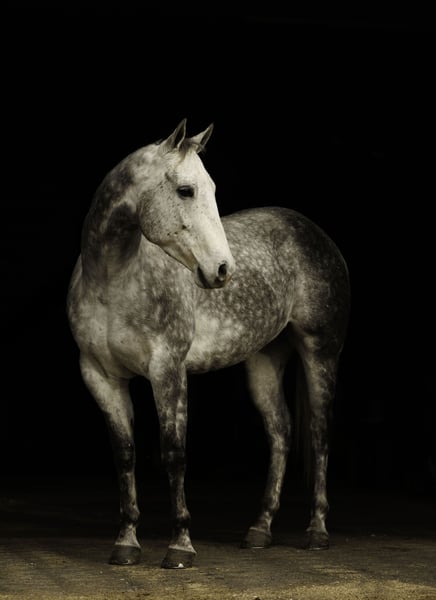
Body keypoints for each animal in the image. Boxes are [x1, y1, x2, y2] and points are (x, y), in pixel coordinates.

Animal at [67, 118, 350, 569]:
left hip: (320, 352)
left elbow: (173, 453)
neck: (112, 281)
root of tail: (314, 232)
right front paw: (126, 543)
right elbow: (125, 454)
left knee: (319, 432)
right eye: (186, 190)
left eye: (212, 188)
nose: (222, 269)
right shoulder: (100, 376)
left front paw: (180, 546)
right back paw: (259, 530)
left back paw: (317, 532)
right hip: (264, 360)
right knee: (281, 433)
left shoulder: (167, 370)